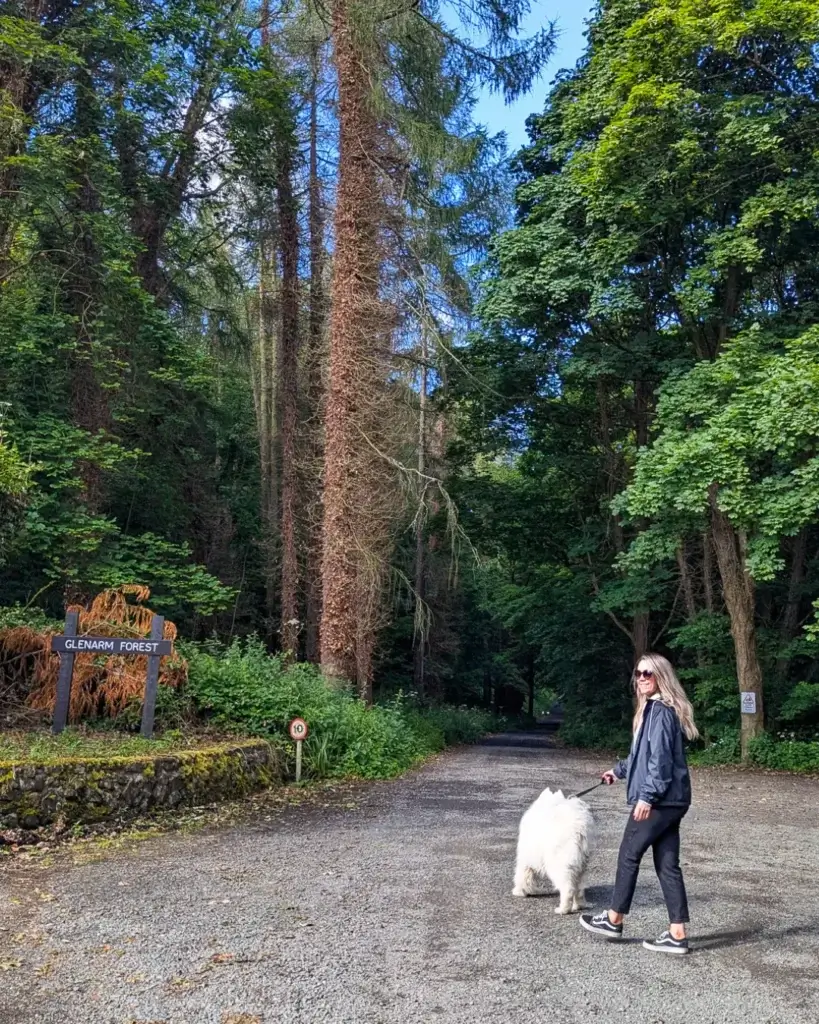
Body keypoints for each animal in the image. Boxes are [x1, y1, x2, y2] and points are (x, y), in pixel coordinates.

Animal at [511, 786, 593, 917]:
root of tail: (578, 831)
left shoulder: (525, 858)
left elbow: (523, 875)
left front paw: (519, 891)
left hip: (559, 865)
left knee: (568, 889)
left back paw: (563, 909)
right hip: (581, 867)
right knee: (579, 889)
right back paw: (579, 905)